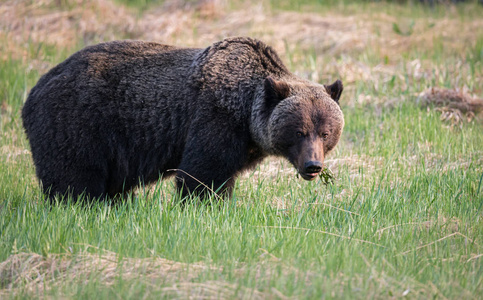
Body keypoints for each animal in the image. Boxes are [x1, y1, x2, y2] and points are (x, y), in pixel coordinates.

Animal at [21, 37, 344, 202]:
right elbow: (203, 172)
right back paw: (78, 204)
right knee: (73, 175)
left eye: (326, 132)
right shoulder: (214, 118)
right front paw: (204, 204)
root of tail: (35, 88)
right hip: (78, 121)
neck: (246, 114)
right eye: (299, 131)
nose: (313, 166)